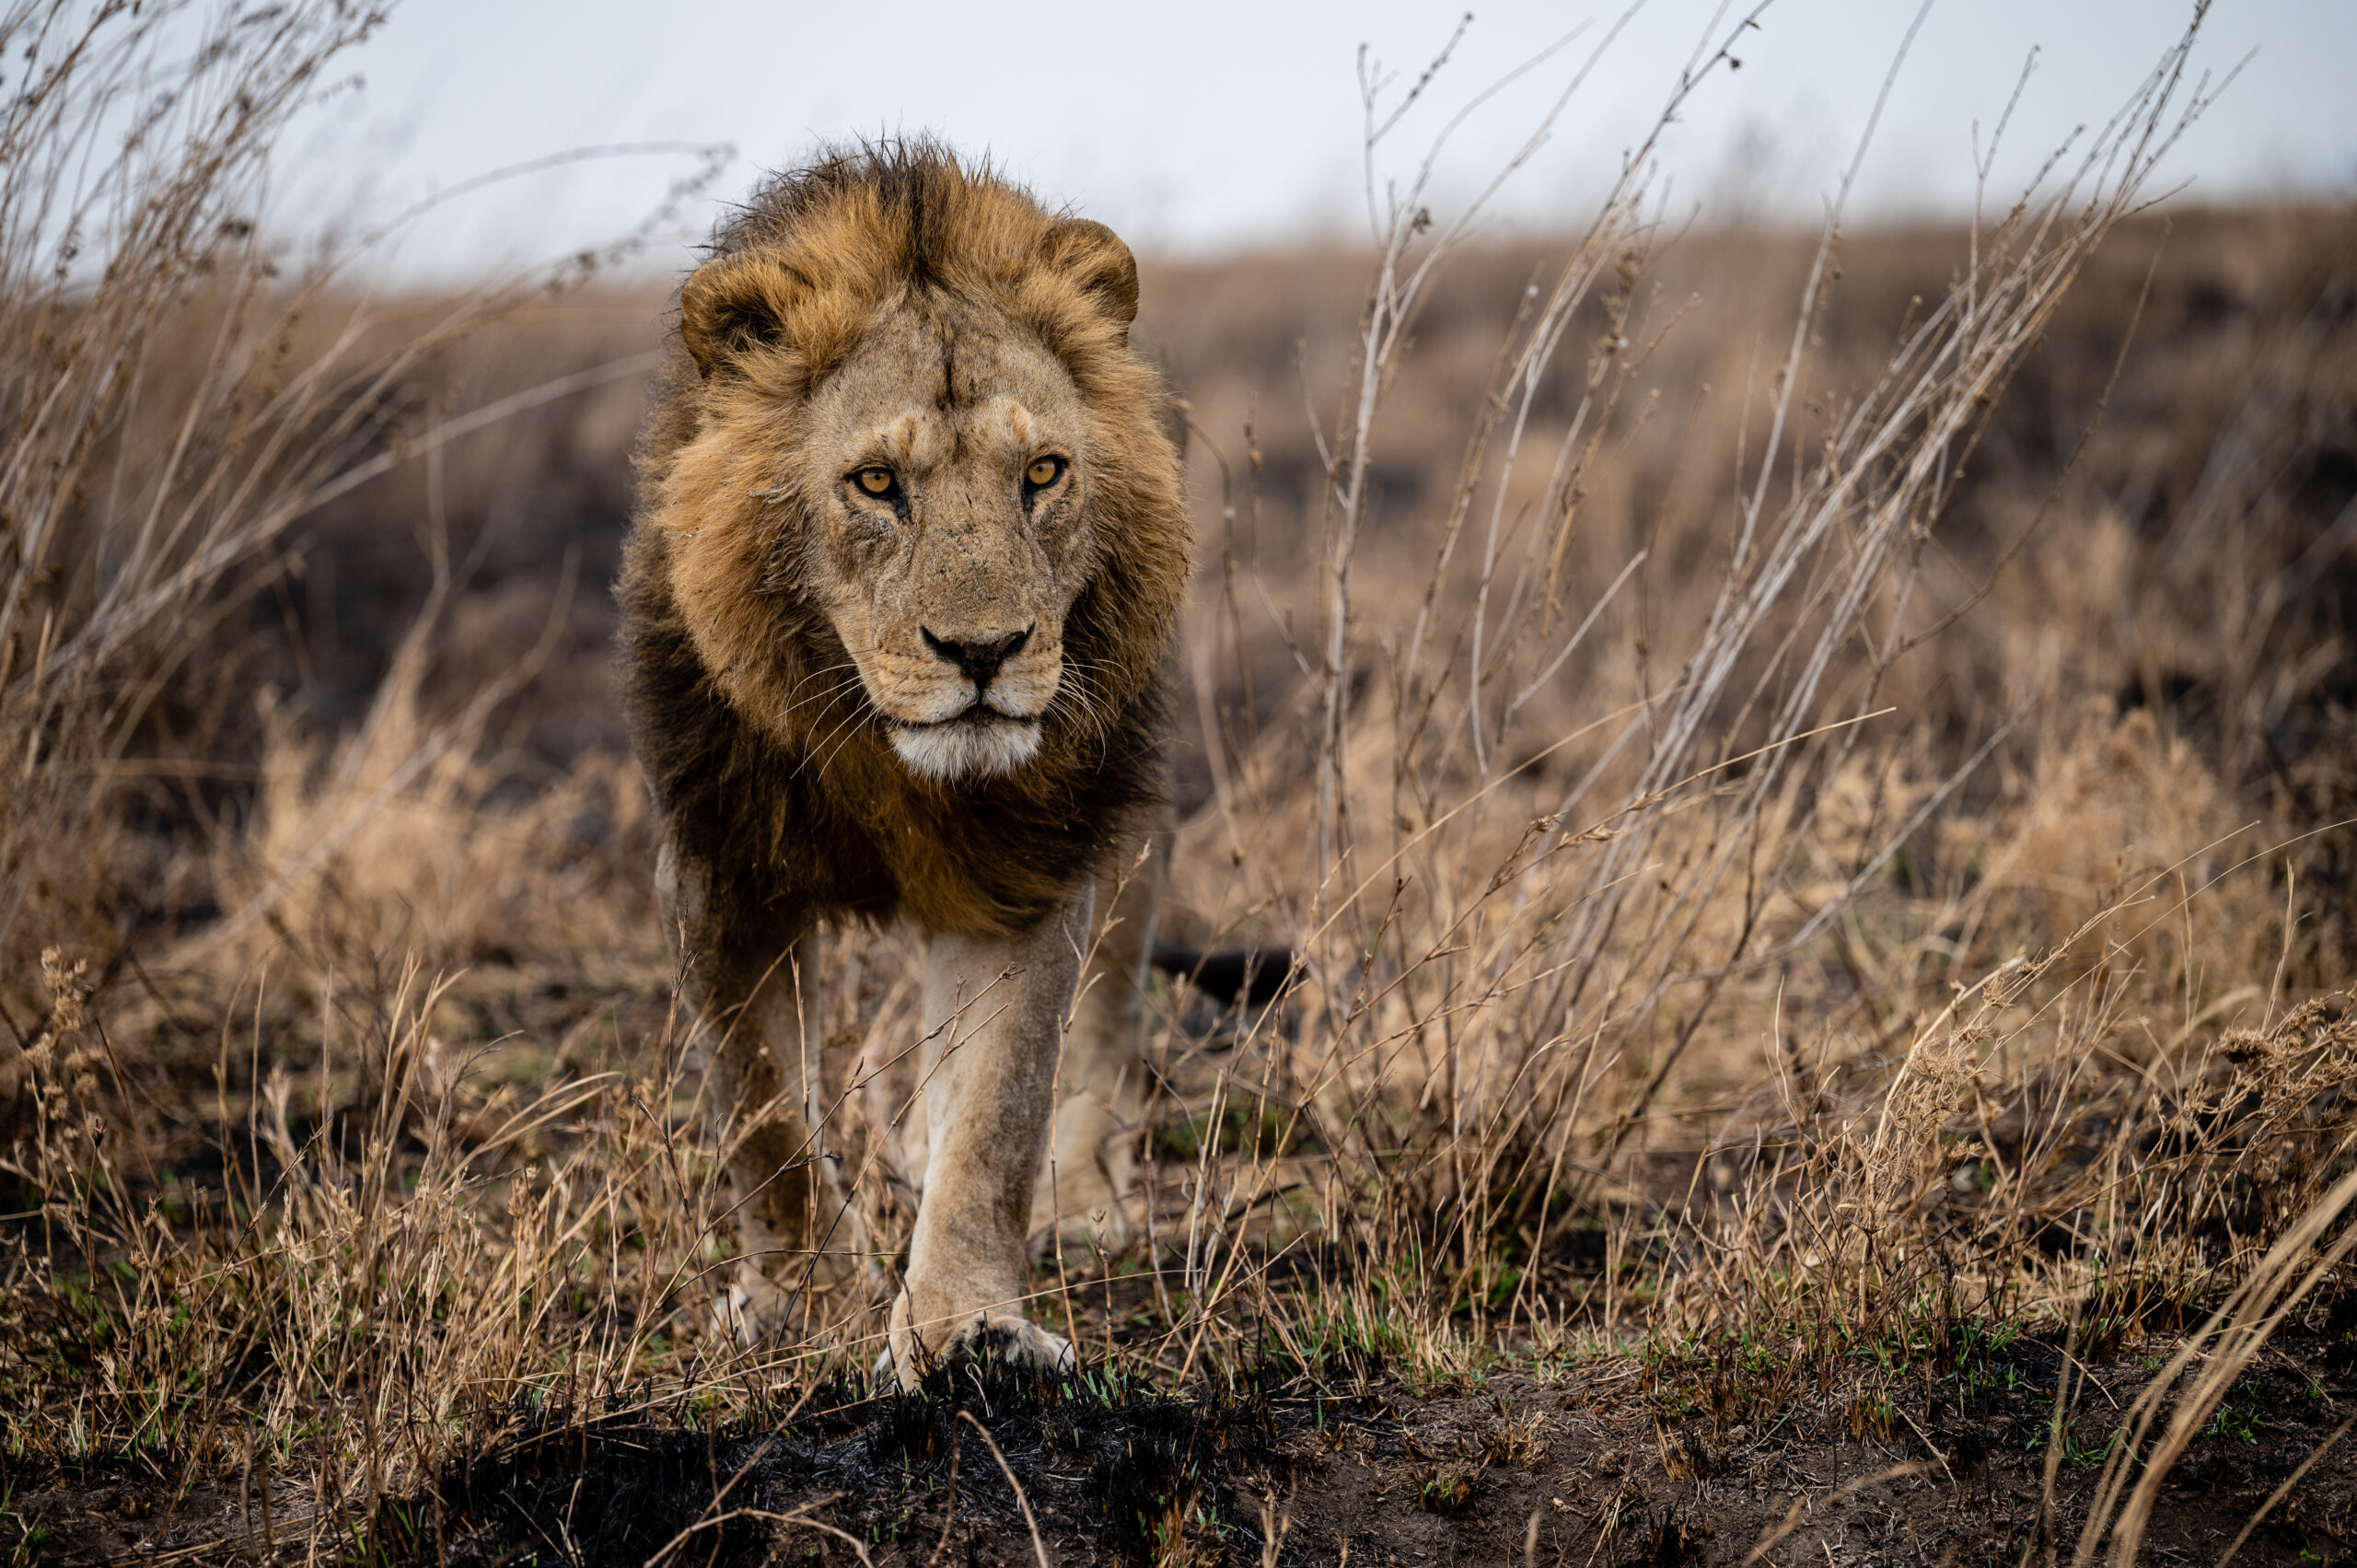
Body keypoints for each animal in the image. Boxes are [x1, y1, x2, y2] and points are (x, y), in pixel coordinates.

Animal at [617, 140, 1188, 1386]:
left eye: (1043, 471)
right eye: (877, 483)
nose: (982, 651)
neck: (886, 753)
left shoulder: (1030, 868)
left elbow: (1000, 1114)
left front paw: (967, 1325)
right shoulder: (717, 863)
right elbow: (763, 1109)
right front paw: (806, 1303)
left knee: (1106, 1009)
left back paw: (1082, 1193)